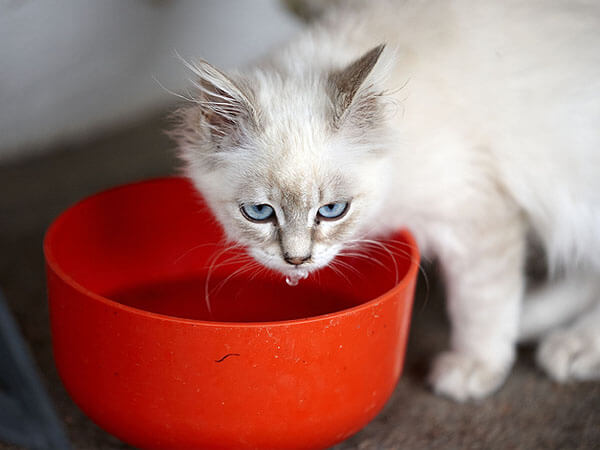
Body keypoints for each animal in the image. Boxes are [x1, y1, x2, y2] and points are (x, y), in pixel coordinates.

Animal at [169, 0, 600, 400]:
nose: (297, 260)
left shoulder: (476, 219)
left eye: (332, 211)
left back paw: (571, 346)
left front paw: (474, 368)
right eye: (259, 213)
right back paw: (535, 319)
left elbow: (481, 305)